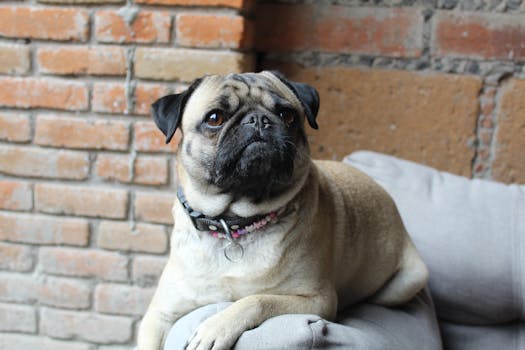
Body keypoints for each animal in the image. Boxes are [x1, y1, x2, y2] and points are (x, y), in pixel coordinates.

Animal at [137, 71, 428, 350]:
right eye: (215, 118)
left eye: (286, 115)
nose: (257, 119)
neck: (237, 223)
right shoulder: (158, 316)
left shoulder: (316, 299)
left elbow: (257, 300)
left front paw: (215, 328)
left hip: (408, 281)